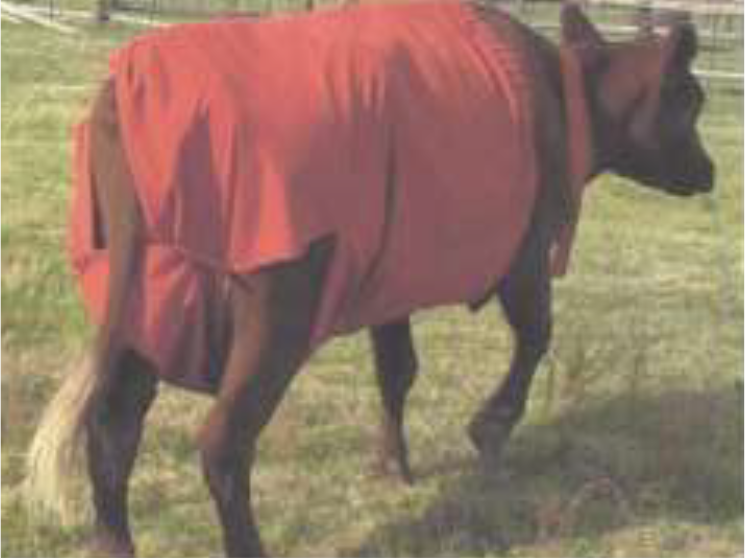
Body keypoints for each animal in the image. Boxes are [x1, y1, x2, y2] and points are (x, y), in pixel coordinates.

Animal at [26, 2, 713, 557]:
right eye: (689, 99)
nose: (709, 172)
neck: (559, 97)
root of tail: (125, 94)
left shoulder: (390, 277)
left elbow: (397, 368)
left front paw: (392, 463)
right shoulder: (524, 252)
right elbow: (537, 335)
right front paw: (488, 427)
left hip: (148, 300)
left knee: (113, 426)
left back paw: (112, 542)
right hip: (276, 310)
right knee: (222, 441)